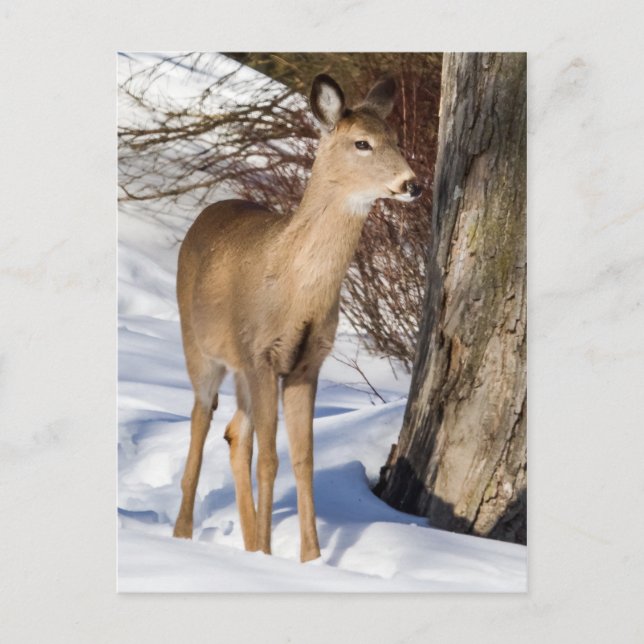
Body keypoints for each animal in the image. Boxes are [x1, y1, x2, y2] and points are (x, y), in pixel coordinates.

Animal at [173, 73, 422, 562]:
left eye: (396, 139)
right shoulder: (262, 354)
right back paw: (183, 535)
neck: (296, 291)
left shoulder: (307, 362)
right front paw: (274, 558)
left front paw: (310, 559)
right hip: (200, 348)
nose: (412, 184)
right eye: (362, 143)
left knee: (235, 434)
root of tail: (208, 211)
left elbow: (304, 460)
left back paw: (249, 542)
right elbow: (270, 459)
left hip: (242, 371)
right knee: (200, 420)